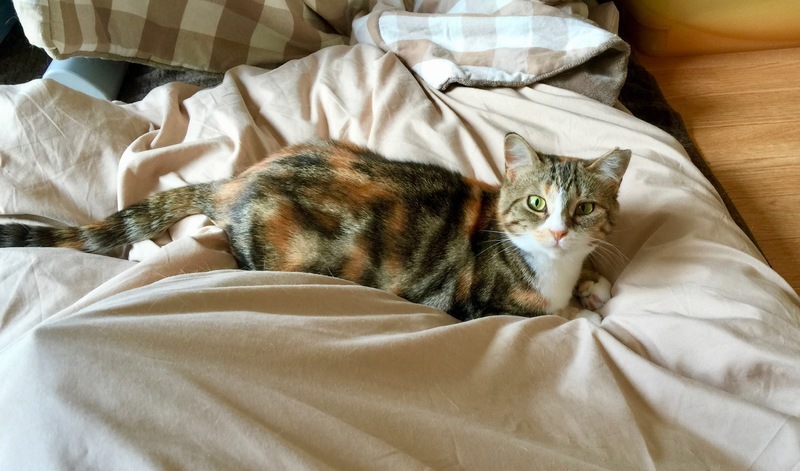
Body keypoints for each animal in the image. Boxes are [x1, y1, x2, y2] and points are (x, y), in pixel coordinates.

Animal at [0, 133, 630, 321]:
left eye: (584, 209)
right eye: (536, 204)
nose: (558, 232)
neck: (552, 267)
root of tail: (236, 182)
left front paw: (595, 285)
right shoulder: (476, 304)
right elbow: (550, 315)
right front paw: (582, 305)